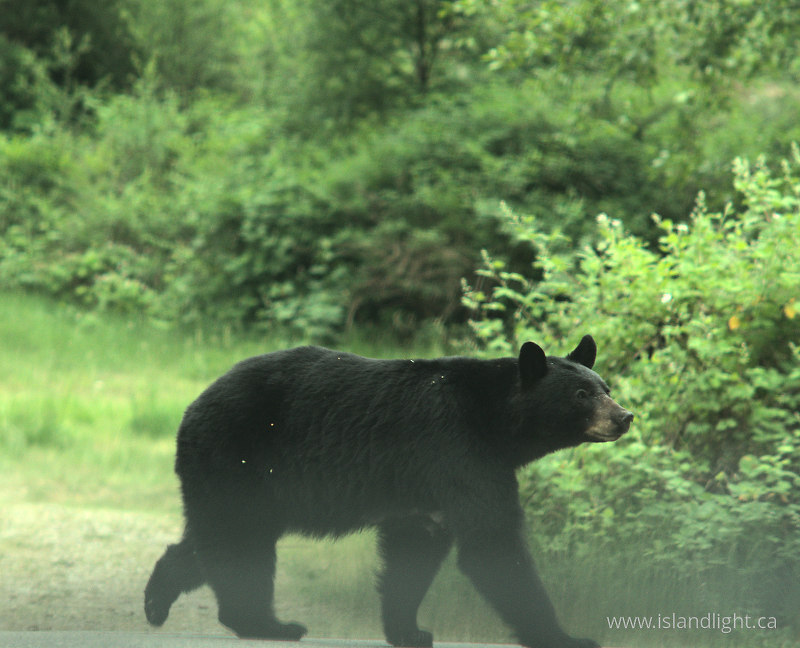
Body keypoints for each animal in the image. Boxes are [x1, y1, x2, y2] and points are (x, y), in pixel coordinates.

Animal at [144, 335, 633, 648]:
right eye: (581, 393)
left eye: (606, 387)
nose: (624, 416)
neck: (495, 420)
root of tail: (193, 406)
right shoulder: (455, 449)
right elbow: (492, 544)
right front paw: (567, 637)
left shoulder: (428, 490)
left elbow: (414, 550)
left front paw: (408, 631)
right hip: (237, 460)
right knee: (238, 543)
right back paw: (267, 624)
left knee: (213, 542)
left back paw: (158, 598)